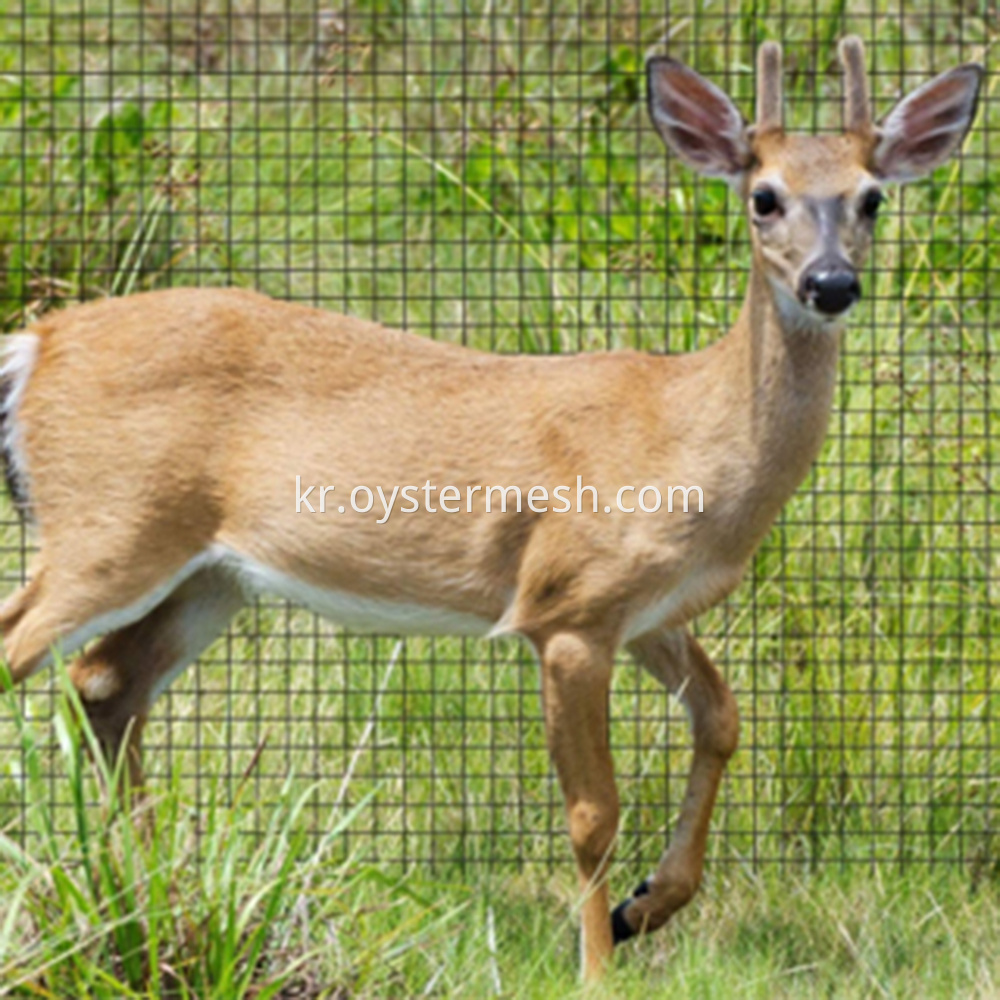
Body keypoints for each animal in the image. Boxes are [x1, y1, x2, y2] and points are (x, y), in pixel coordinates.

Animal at [0, 36, 982, 980]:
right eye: (764, 197)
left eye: (872, 200)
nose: (831, 283)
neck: (687, 436)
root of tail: (38, 341)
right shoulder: (569, 607)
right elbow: (593, 810)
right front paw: (596, 966)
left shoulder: (648, 610)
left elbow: (724, 717)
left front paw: (644, 907)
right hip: (109, 527)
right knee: (29, 650)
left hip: (211, 576)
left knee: (105, 684)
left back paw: (140, 890)